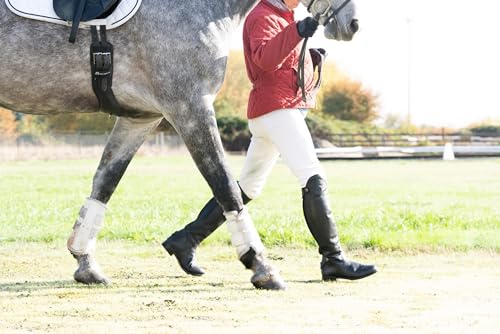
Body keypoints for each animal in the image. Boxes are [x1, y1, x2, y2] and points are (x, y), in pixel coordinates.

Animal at [0, 0, 360, 288]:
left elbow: (105, 182)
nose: (352, 24)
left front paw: (85, 263)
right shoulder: (190, 106)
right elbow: (224, 184)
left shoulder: (140, 118)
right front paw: (261, 266)